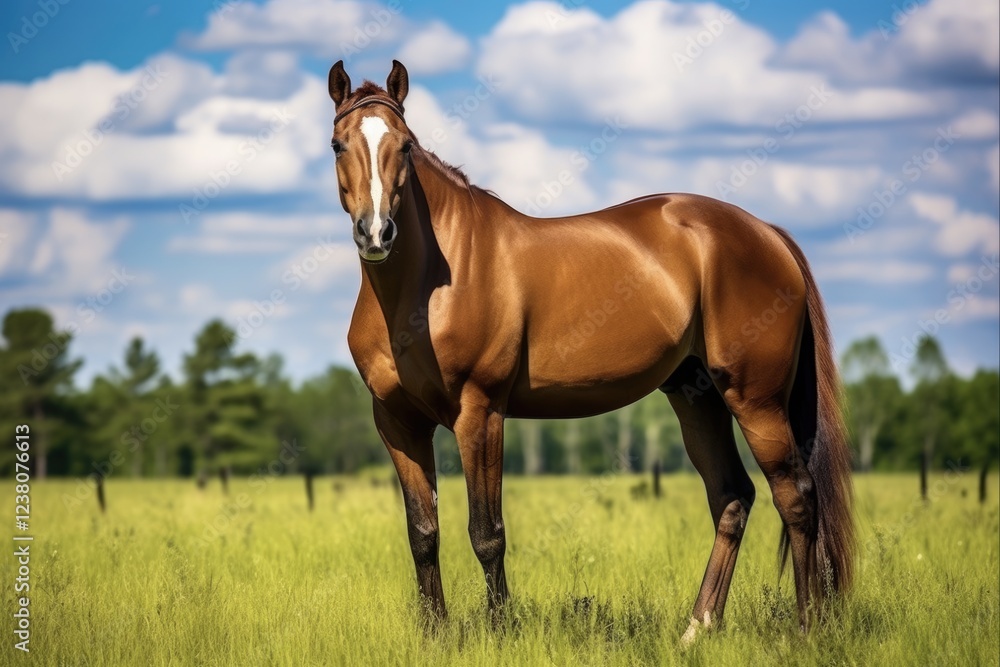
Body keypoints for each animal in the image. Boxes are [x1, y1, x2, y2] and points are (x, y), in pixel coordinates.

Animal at [326, 59, 854, 640]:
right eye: (337, 144)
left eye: (404, 145)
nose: (377, 233)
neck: (426, 287)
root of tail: (767, 233)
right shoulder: (398, 423)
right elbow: (423, 532)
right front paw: (435, 636)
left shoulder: (480, 413)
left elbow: (487, 532)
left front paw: (501, 633)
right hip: (698, 399)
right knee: (732, 497)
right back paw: (697, 629)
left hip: (755, 400)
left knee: (796, 496)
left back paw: (807, 630)